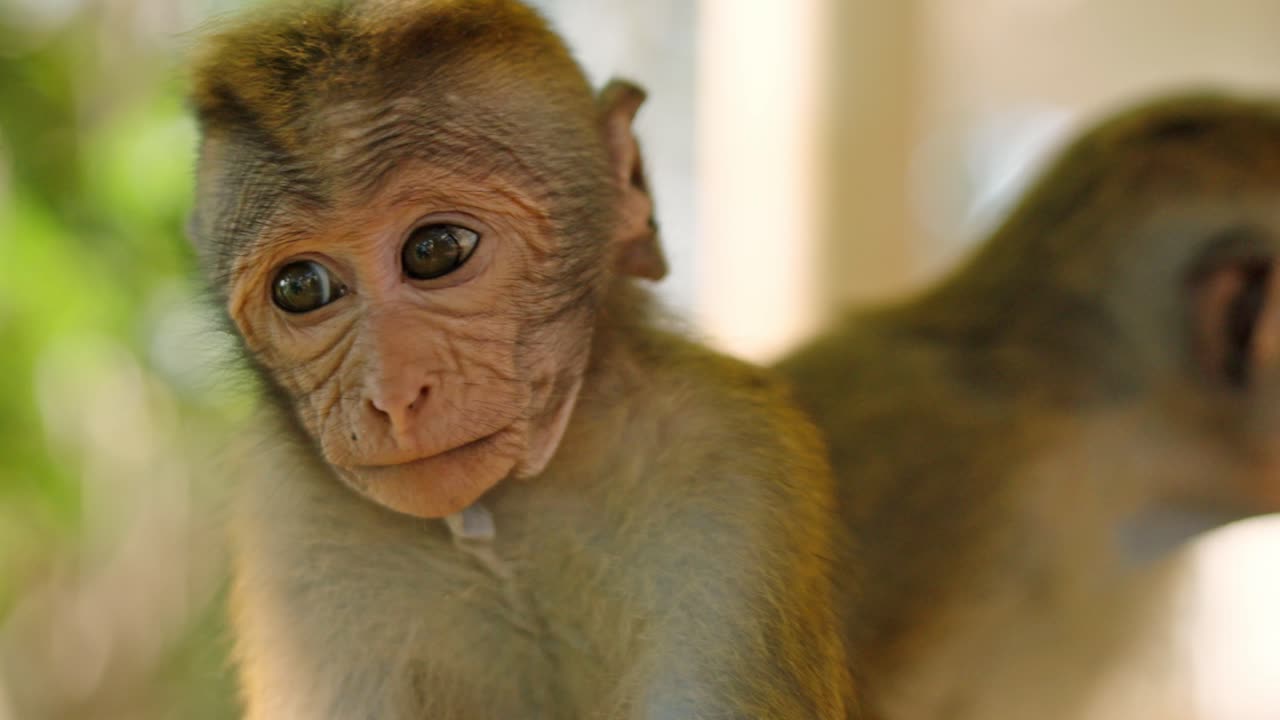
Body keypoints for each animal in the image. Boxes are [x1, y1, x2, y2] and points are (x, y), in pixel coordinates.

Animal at [184, 1, 857, 718]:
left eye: (435, 249)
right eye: (301, 287)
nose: (393, 396)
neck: (503, 519)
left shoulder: (735, 469)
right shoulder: (293, 520)